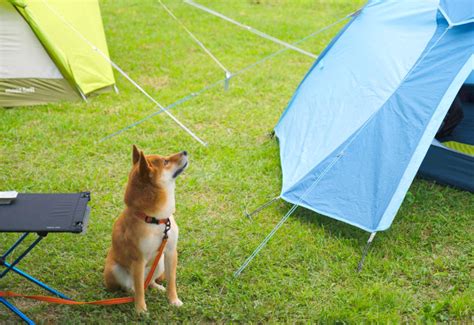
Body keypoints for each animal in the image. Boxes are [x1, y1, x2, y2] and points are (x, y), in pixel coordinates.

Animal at [103, 144, 187, 312]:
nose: (185, 151)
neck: (156, 220)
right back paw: (131, 292)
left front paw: (173, 300)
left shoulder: (170, 252)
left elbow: (172, 282)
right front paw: (141, 309)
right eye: (166, 162)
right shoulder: (138, 259)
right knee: (134, 286)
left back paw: (156, 287)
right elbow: (140, 290)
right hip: (115, 269)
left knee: (148, 282)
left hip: (159, 263)